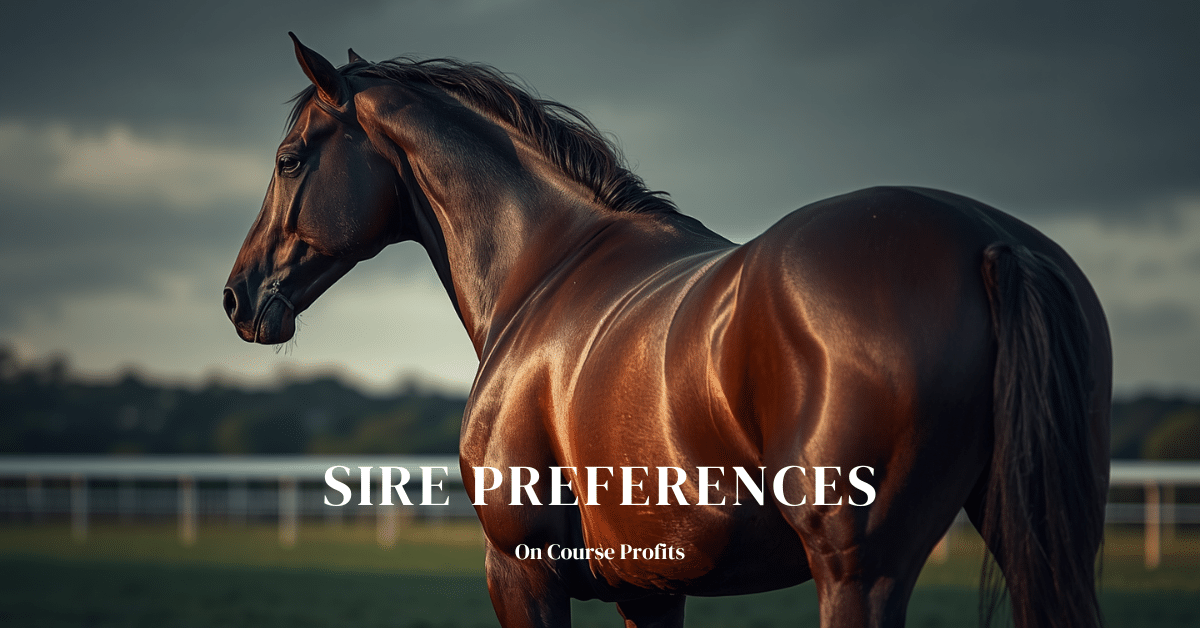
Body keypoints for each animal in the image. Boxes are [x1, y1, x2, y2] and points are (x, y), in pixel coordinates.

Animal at [223, 35, 1111, 628]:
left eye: (290, 158)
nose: (237, 298)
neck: (545, 267)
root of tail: (989, 242)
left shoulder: (521, 572)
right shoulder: (649, 587)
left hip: (858, 571)